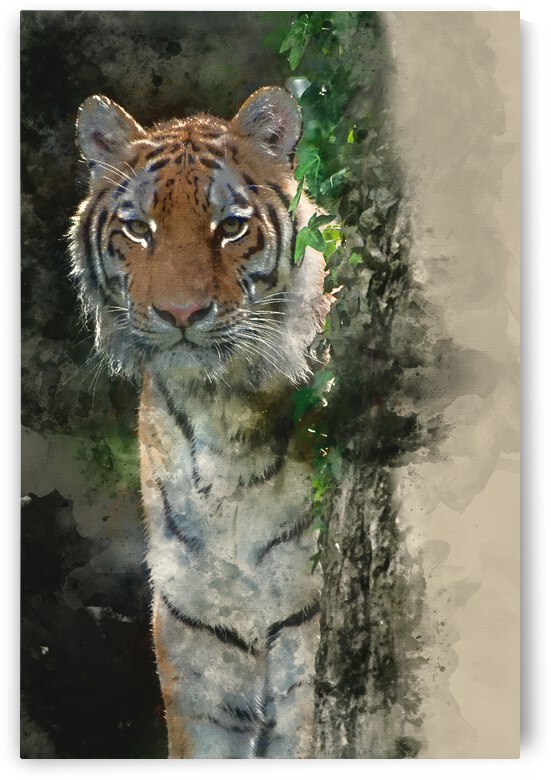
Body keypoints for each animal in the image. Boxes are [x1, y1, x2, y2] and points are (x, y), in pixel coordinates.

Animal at [69, 86, 331, 759]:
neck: (222, 414)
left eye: (230, 226)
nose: (181, 313)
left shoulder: (305, 620)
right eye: (139, 229)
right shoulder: (197, 623)